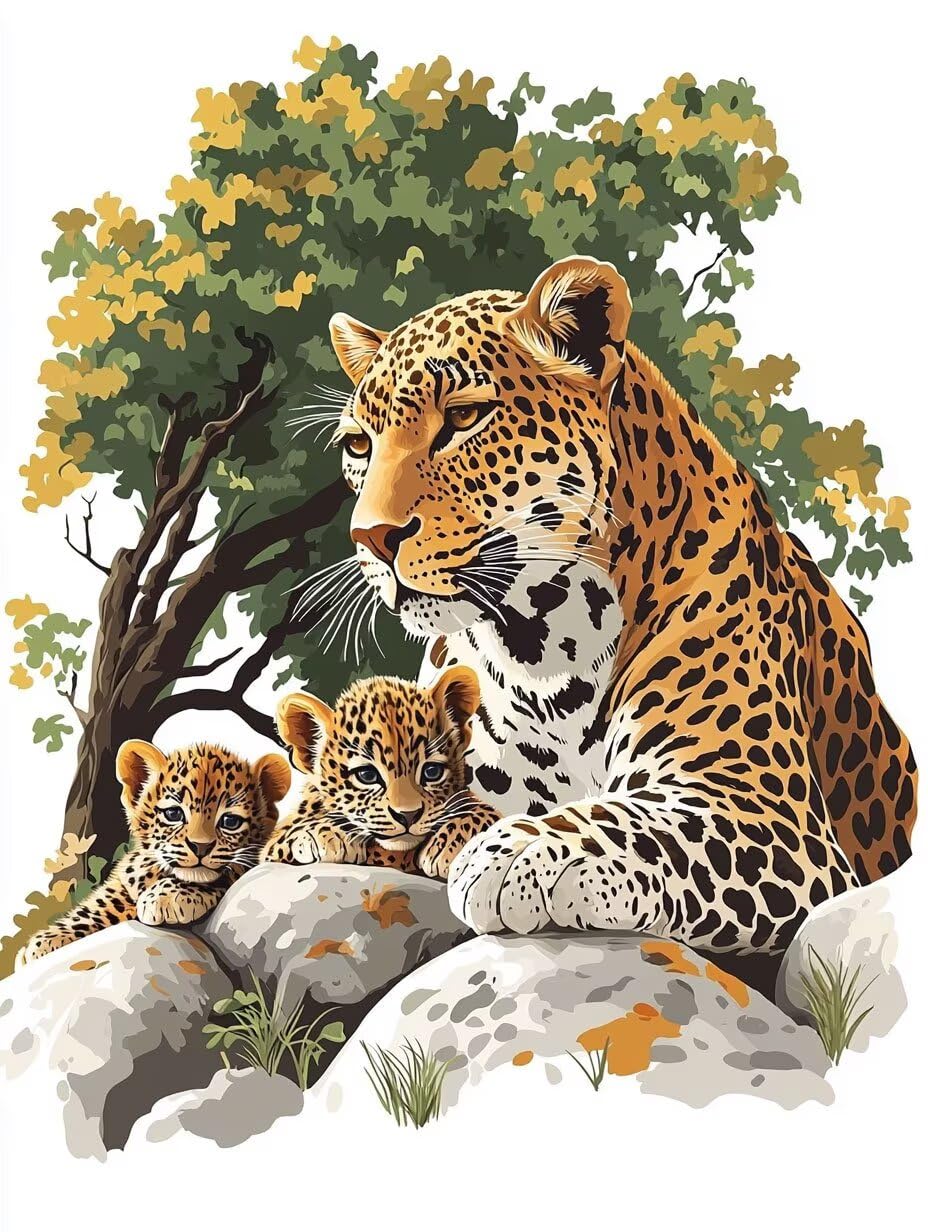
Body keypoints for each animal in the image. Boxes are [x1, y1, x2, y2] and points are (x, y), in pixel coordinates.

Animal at [18, 740, 290, 965]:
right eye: (173, 814)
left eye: (230, 821)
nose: (201, 847)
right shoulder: (124, 882)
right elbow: (100, 903)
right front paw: (45, 940)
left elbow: (221, 874)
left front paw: (166, 897)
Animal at [321, 253, 918, 956]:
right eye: (359, 446)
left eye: (464, 419)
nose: (370, 537)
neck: (541, 649)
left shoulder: (772, 815)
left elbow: (637, 820)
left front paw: (514, 854)